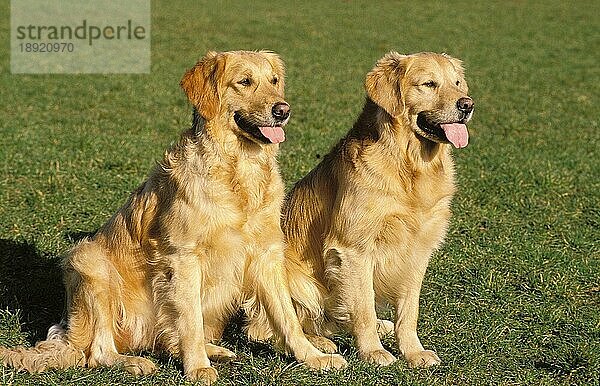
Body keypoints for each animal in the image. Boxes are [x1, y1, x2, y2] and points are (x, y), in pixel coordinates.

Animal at [248, 51, 474, 368]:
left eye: (457, 83)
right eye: (429, 84)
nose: (467, 104)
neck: (409, 165)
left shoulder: (418, 250)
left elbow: (409, 312)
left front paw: (413, 351)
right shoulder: (353, 249)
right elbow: (364, 308)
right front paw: (373, 351)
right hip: (295, 278)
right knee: (269, 328)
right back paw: (320, 343)